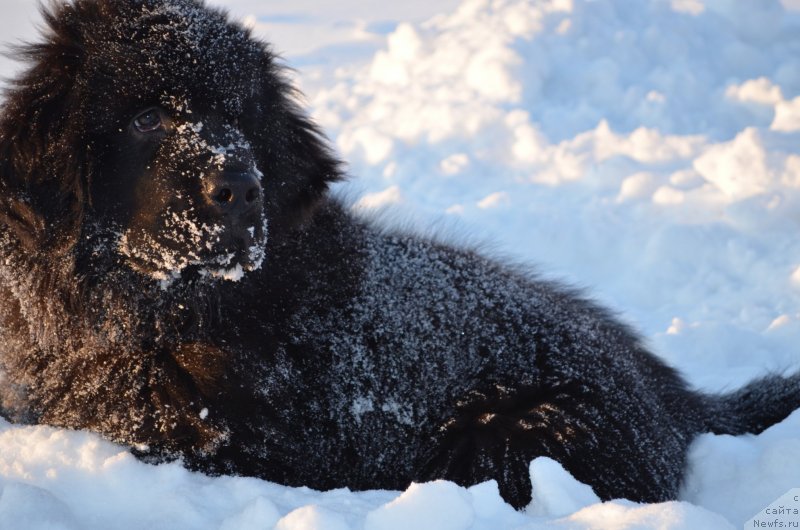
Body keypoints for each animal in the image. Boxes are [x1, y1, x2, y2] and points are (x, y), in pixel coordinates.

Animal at [1, 0, 800, 508]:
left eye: (240, 118)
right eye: (144, 119)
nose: (240, 185)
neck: (156, 313)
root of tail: (669, 391)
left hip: (523, 435)